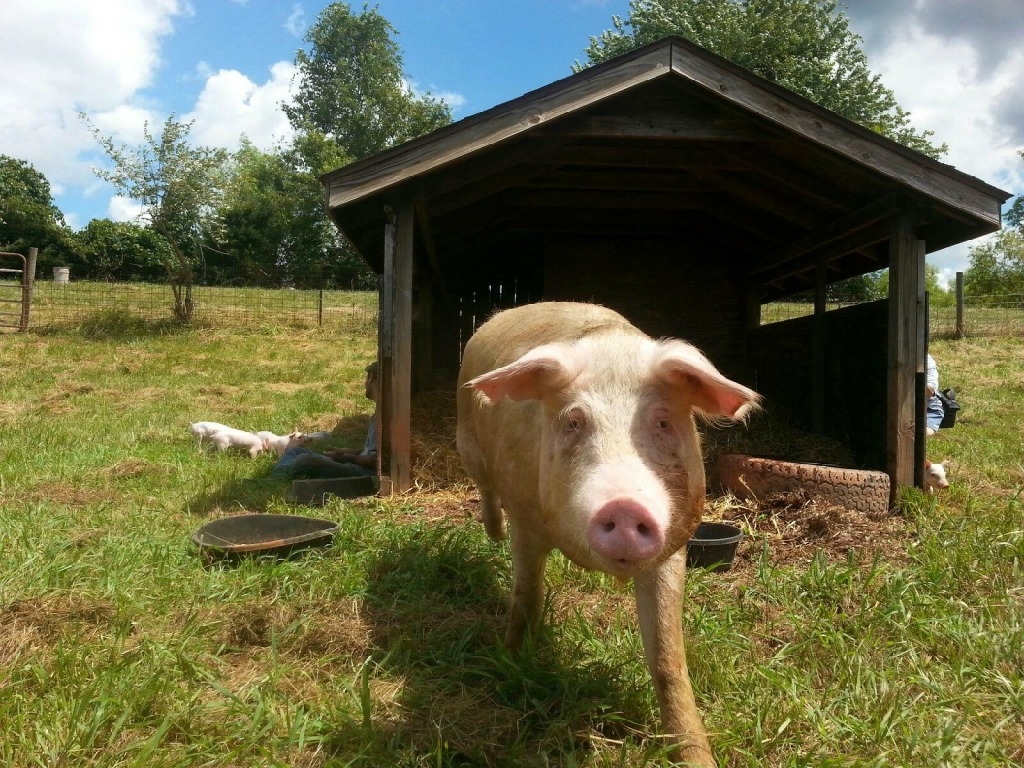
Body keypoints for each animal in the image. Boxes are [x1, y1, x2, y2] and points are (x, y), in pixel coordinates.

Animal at [456, 301, 761, 765]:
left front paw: (697, 757)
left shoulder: (673, 547)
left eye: (663, 423)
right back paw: (492, 534)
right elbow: (526, 595)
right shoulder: (526, 521)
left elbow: (667, 656)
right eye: (573, 422)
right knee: (484, 487)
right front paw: (508, 661)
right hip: (465, 440)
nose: (624, 505)